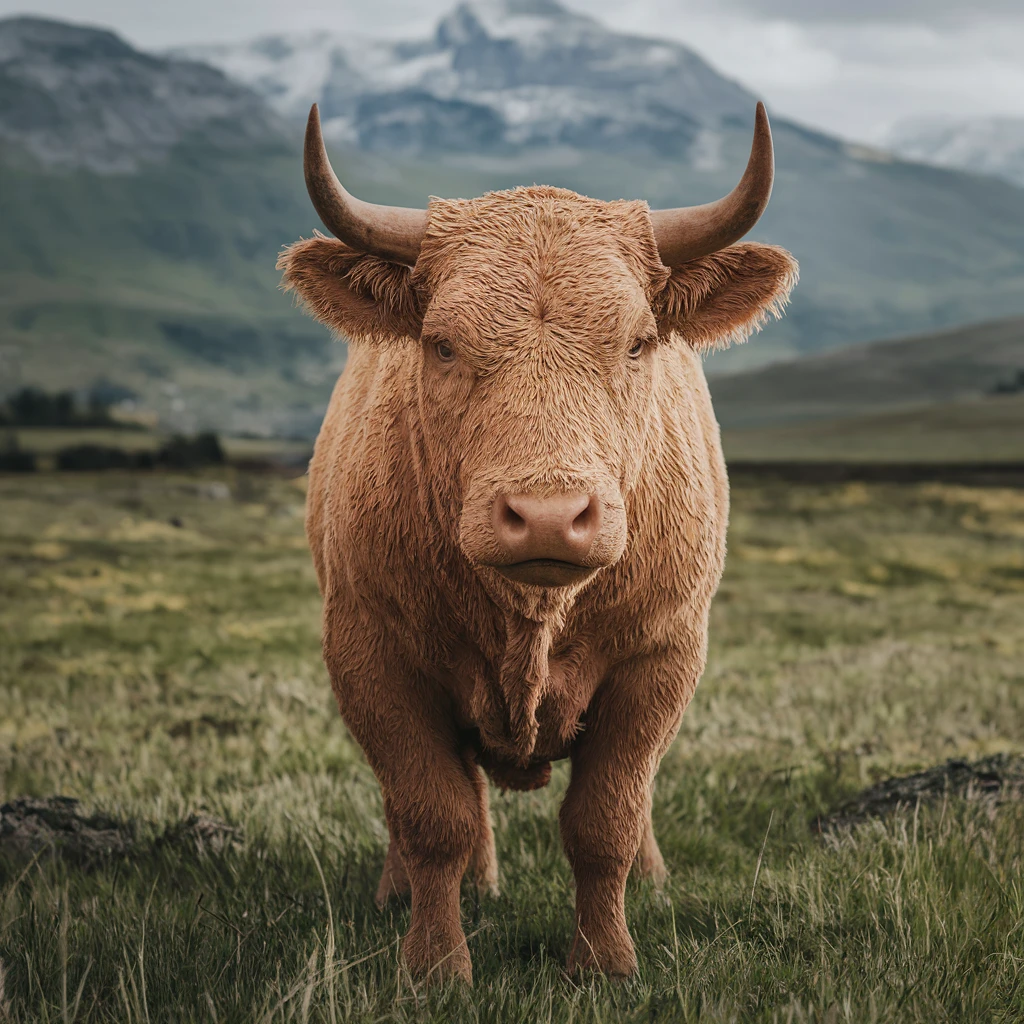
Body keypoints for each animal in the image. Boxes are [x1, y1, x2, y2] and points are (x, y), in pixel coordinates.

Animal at [278, 101, 797, 984]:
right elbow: (433, 814)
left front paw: (604, 961)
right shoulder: (371, 655)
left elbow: (605, 819)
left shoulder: (659, 659)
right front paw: (434, 966)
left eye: (636, 341)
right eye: (442, 342)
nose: (550, 516)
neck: (534, 614)